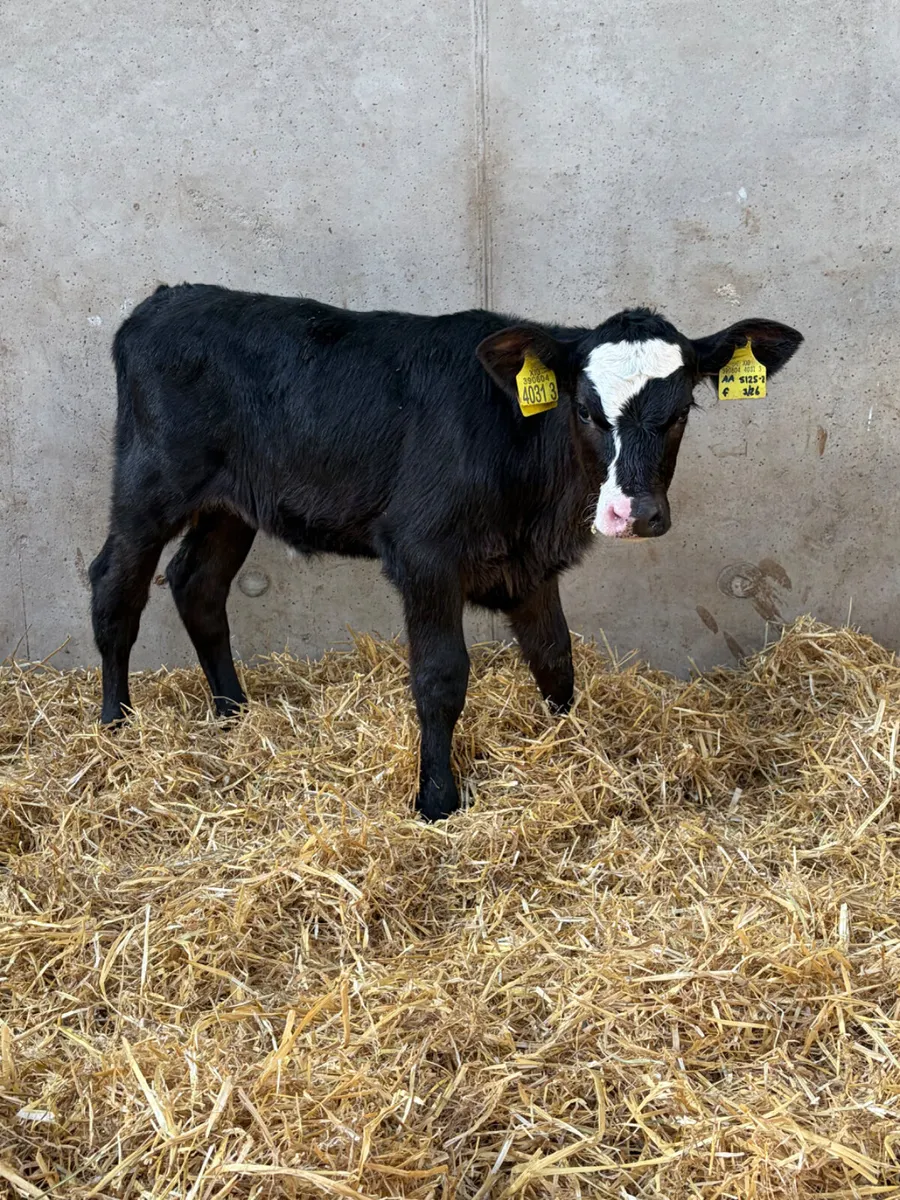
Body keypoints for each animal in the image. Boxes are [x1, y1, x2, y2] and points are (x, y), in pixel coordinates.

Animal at [89, 284, 802, 820]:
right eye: (585, 410)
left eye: (681, 411)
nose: (635, 514)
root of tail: (165, 298)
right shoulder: (424, 555)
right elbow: (440, 678)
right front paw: (436, 801)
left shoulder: (527, 565)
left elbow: (555, 659)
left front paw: (566, 748)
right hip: (148, 484)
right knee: (114, 587)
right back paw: (115, 726)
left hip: (231, 504)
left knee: (197, 584)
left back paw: (234, 713)